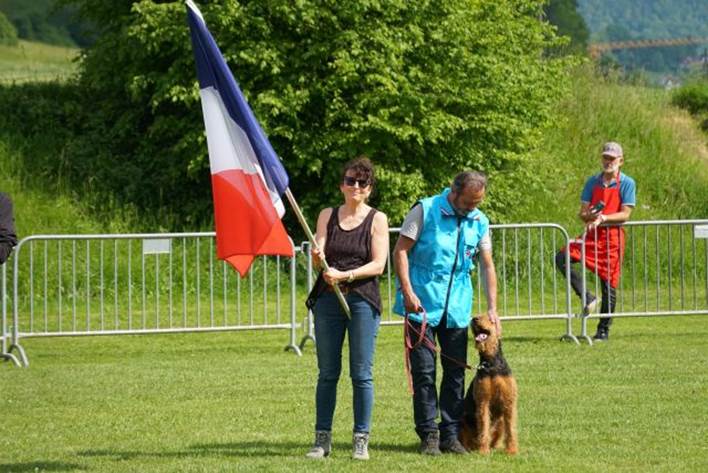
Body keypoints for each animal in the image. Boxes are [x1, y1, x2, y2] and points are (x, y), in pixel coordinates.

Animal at [460, 314, 516, 454]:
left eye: (489, 318)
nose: (474, 319)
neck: (491, 363)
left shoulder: (509, 401)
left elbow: (511, 428)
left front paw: (512, 450)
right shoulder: (483, 400)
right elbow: (484, 425)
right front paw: (483, 451)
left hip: (500, 421)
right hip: (462, 420)